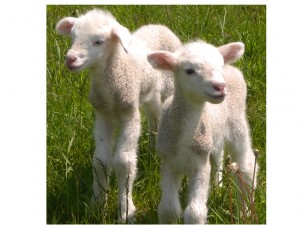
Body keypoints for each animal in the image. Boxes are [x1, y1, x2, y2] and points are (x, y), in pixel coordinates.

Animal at [55, 8, 182, 221]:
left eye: (99, 41)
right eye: (72, 37)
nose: (70, 59)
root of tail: (159, 26)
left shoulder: (129, 113)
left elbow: (123, 163)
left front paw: (126, 210)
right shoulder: (103, 114)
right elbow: (100, 161)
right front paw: (97, 204)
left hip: (171, 86)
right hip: (150, 90)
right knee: (154, 112)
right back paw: (153, 144)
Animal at [148, 40, 258, 223]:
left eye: (220, 65)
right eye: (189, 71)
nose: (220, 86)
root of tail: (232, 68)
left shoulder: (200, 164)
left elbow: (194, 213)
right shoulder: (169, 161)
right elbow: (168, 210)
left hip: (237, 123)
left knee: (247, 164)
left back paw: (246, 210)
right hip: (215, 133)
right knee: (219, 154)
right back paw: (217, 185)